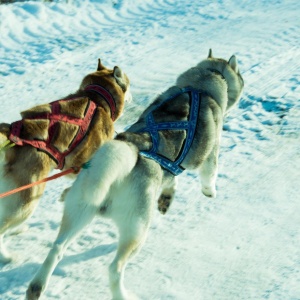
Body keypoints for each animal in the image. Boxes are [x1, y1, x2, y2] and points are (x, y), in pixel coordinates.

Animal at [25, 50, 244, 298]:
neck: (200, 87)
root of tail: (130, 151)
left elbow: (171, 182)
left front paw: (166, 199)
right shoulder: (210, 150)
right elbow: (210, 173)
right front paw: (210, 191)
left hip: (80, 212)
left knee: (57, 248)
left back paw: (36, 286)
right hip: (136, 229)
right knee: (115, 268)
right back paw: (122, 293)